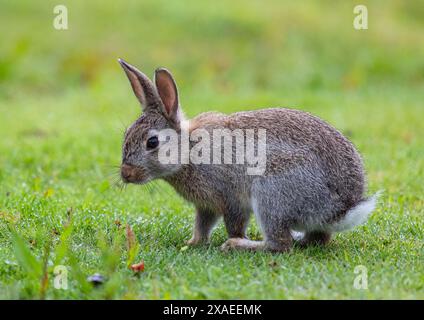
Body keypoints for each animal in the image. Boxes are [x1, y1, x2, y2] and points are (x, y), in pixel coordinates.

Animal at [117, 58, 378, 251]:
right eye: (126, 134)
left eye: (152, 142)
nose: (126, 174)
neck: (189, 151)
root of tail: (341, 208)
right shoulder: (207, 205)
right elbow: (202, 224)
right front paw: (192, 243)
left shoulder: (230, 197)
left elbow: (233, 223)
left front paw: (228, 240)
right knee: (317, 239)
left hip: (271, 192)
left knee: (279, 244)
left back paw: (238, 245)